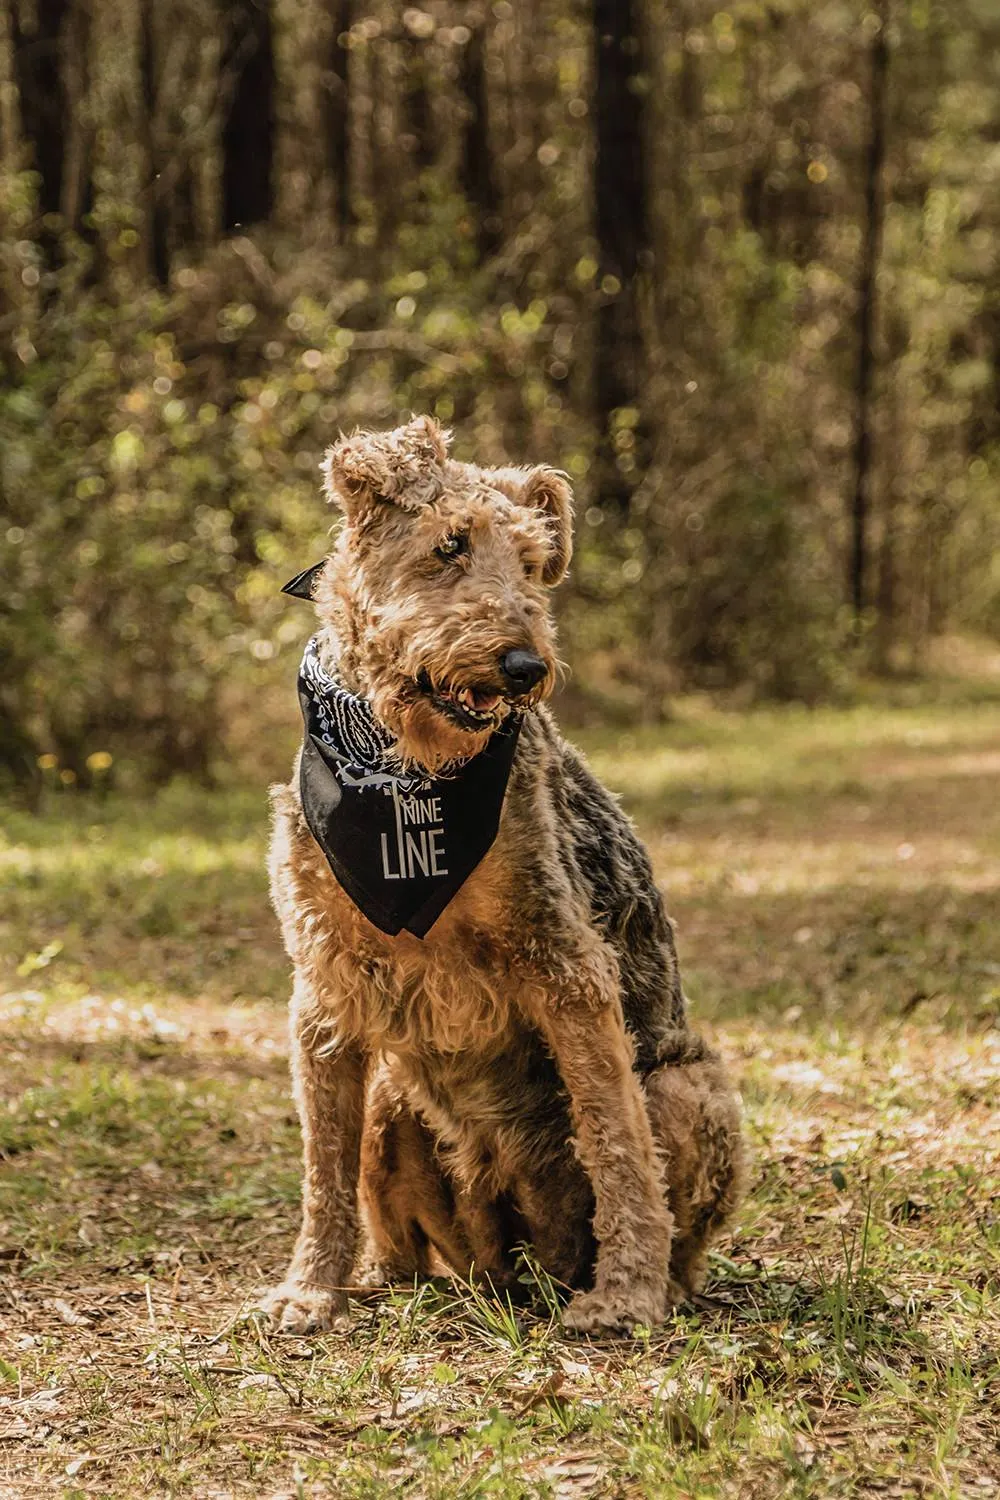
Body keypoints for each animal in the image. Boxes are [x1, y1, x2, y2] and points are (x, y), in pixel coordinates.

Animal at [262, 414, 746, 1338]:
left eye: (530, 562)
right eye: (450, 545)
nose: (525, 665)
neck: (404, 771)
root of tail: (515, 1267)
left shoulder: (565, 965)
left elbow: (615, 1143)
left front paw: (624, 1296)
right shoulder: (327, 987)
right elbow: (321, 1169)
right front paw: (308, 1289)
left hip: (687, 1087)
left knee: (672, 1218)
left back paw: (649, 1285)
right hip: (393, 1101)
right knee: (401, 1242)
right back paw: (379, 1279)